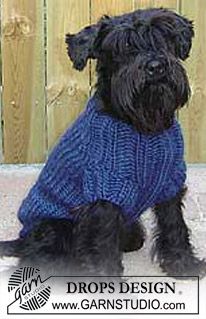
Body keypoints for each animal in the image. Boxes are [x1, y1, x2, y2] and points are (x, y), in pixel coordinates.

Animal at [0, 7, 206, 278]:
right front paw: (106, 279)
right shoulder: (105, 189)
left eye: (163, 38)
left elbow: (175, 225)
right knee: (38, 256)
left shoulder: (170, 182)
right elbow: (103, 241)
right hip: (56, 226)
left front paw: (184, 264)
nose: (155, 66)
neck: (142, 127)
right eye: (124, 45)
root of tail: (23, 239)